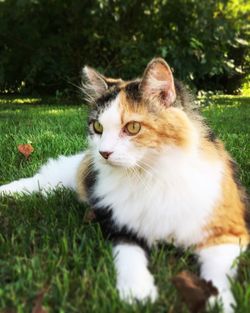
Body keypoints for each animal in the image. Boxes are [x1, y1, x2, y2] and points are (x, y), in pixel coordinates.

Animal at [0, 58, 249, 310]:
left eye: (133, 128)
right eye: (97, 127)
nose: (103, 153)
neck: (150, 176)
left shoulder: (227, 231)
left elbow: (218, 277)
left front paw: (221, 304)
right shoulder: (120, 226)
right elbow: (130, 257)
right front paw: (137, 293)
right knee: (42, 179)